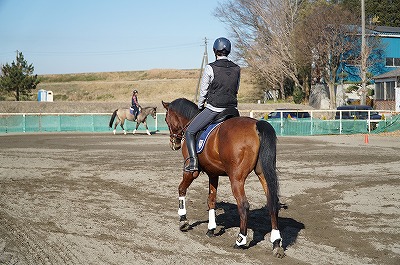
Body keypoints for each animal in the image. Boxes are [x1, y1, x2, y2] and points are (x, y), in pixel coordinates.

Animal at [160, 98, 284, 256]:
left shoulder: (189, 172)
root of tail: (256, 124)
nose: (174, 144)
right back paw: (276, 243)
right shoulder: (213, 174)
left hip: (236, 179)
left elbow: (181, 189)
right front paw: (211, 229)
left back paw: (240, 240)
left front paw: (183, 221)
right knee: (272, 203)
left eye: (166, 119)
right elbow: (211, 200)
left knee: (244, 205)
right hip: (263, 174)